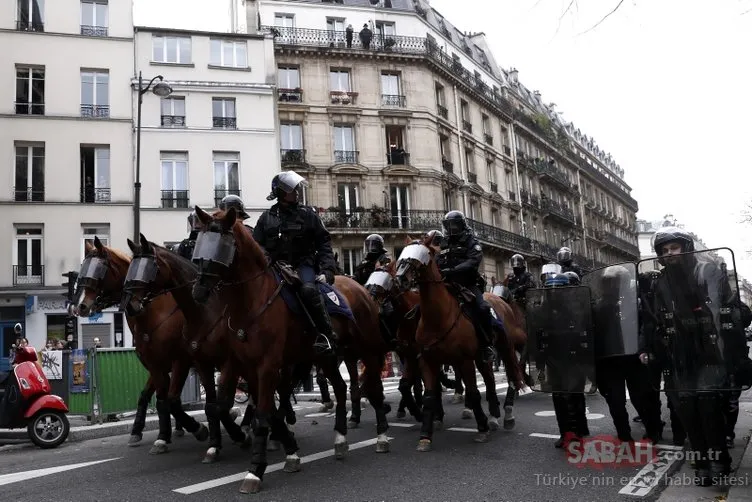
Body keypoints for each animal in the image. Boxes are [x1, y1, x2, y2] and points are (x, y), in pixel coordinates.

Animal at [74, 237, 209, 452]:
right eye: (84, 268)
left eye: (100, 269)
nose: (82, 306)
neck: (153, 313)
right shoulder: (155, 365)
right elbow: (151, 397)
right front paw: (150, 433)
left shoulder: (179, 361)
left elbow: (169, 400)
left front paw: (195, 428)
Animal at [122, 234, 254, 462]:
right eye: (131, 268)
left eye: (149, 268)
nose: (130, 305)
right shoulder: (165, 364)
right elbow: (168, 400)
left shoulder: (186, 361)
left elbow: (189, 402)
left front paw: (208, 431)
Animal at [189, 207, 388, 494]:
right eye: (200, 242)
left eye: (223, 246)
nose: (199, 291)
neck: (251, 300)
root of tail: (361, 288)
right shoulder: (241, 365)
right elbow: (236, 408)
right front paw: (289, 450)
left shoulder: (268, 366)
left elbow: (263, 414)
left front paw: (255, 470)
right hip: (326, 357)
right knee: (340, 388)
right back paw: (340, 439)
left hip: (367, 350)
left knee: (372, 387)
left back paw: (382, 435)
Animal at [390, 235, 524, 452]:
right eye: (402, 255)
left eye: (422, 256)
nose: (400, 279)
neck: (438, 316)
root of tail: (499, 299)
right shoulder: (428, 361)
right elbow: (429, 395)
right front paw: (425, 436)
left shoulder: (464, 361)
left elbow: (474, 392)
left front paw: (482, 428)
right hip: (482, 357)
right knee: (490, 380)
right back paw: (494, 415)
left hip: (504, 348)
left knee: (512, 376)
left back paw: (507, 415)